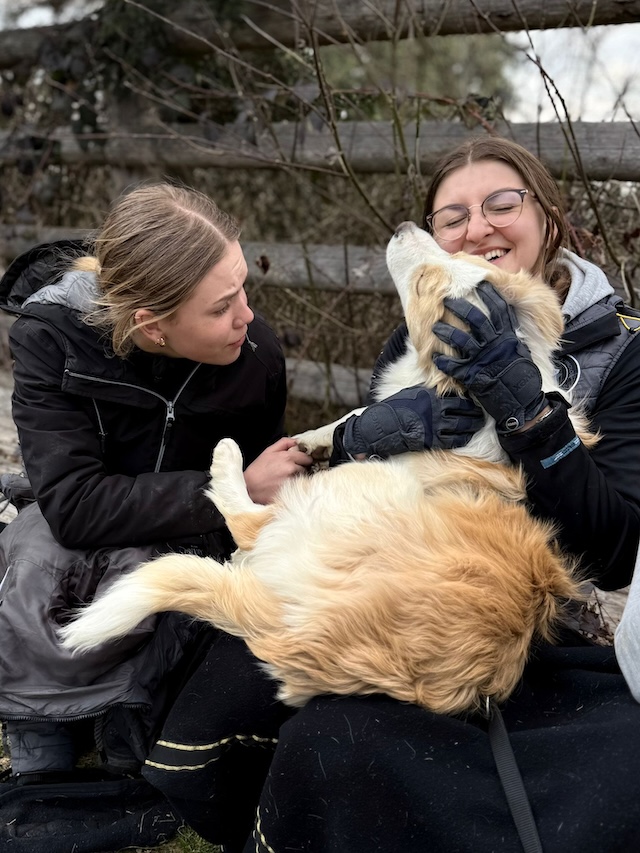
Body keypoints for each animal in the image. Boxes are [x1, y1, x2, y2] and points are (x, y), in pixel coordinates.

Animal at [60, 222, 593, 716]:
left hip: (338, 496)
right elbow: (357, 415)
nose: (404, 227)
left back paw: (228, 459)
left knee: (246, 524)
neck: (474, 401)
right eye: (460, 253)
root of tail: (297, 637)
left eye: (424, 280)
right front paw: (326, 436)